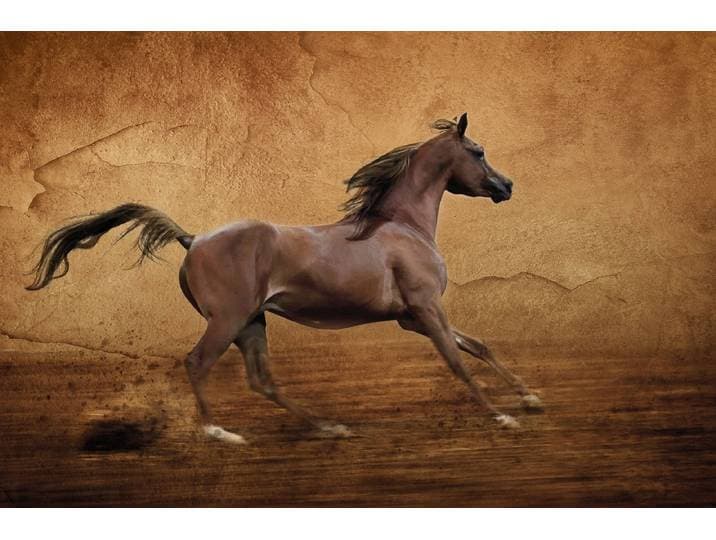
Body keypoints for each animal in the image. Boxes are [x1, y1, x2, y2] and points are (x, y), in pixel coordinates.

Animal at [26, 113, 542, 444]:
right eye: (478, 151)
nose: (507, 186)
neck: (401, 226)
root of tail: (192, 239)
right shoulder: (425, 307)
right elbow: (456, 360)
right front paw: (501, 417)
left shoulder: (412, 316)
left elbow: (478, 346)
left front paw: (530, 398)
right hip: (228, 320)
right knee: (198, 363)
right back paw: (221, 432)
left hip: (252, 322)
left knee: (262, 381)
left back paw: (328, 427)